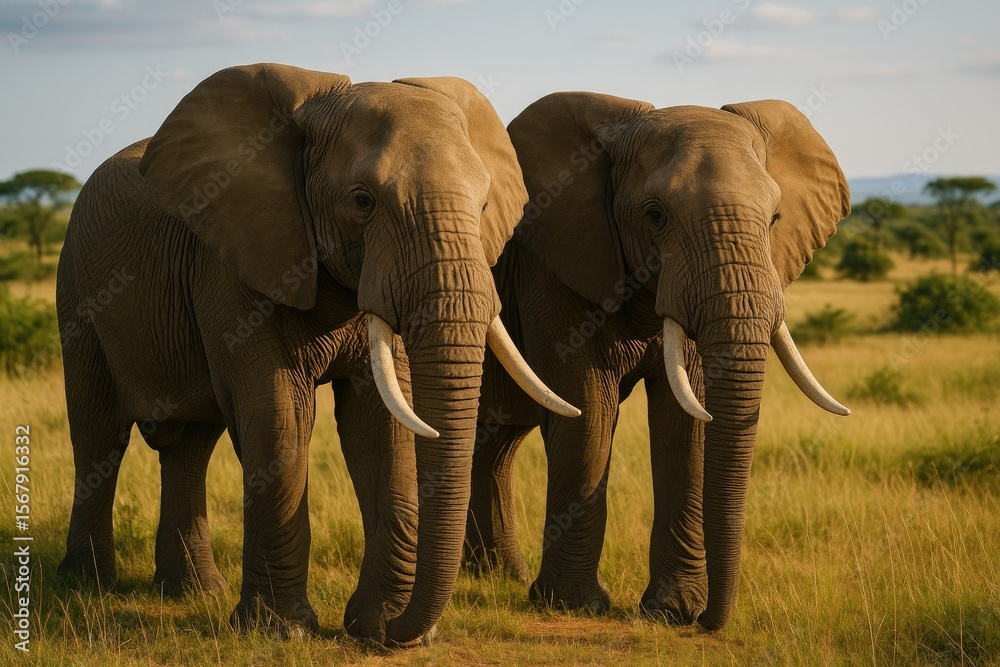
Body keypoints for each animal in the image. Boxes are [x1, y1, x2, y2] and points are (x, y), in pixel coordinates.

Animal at [56, 63, 578, 645]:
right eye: (362, 201)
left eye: (484, 205)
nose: (400, 630)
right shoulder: (234, 258)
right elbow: (277, 412)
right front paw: (282, 631)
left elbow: (381, 421)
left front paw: (376, 627)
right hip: (76, 291)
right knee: (99, 433)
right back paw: (87, 586)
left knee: (190, 445)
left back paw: (193, 593)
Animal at [464, 93, 851, 630]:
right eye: (655, 215)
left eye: (775, 219)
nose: (710, 621)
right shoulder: (555, 267)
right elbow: (587, 407)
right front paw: (573, 605)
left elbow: (684, 418)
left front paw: (672, 612)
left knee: (494, 443)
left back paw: (496, 577)